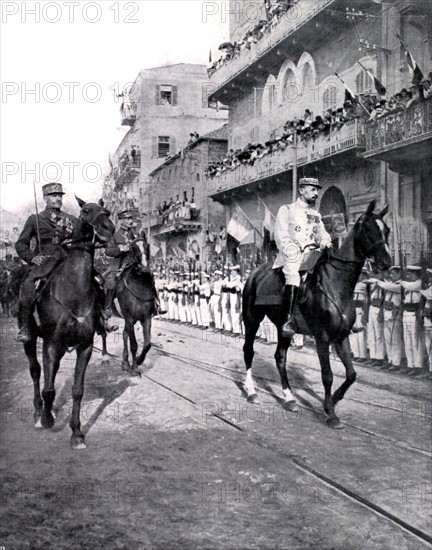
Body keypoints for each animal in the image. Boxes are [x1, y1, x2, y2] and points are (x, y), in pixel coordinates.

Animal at [22, 198, 114, 448]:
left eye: (106, 211)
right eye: (86, 211)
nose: (108, 229)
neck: (74, 290)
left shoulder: (85, 346)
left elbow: (77, 390)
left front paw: (77, 433)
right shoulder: (51, 344)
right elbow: (49, 388)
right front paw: (47, 419)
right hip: (31, 339)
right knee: (36, 371)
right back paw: (38, 413)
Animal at [241, 201, 394, 430]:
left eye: (387, 230)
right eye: (368, 229)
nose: (386, 262)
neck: (336, 283)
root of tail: (254, 273)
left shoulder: (341, 337)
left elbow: (351, 374)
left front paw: (335, 399)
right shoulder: (322, 338)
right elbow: (328, 375)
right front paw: (330, 413)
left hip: (284, 329)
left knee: (280, 357)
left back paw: (289, 399)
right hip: (252, 320)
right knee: (248, 352)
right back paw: (251, 392)